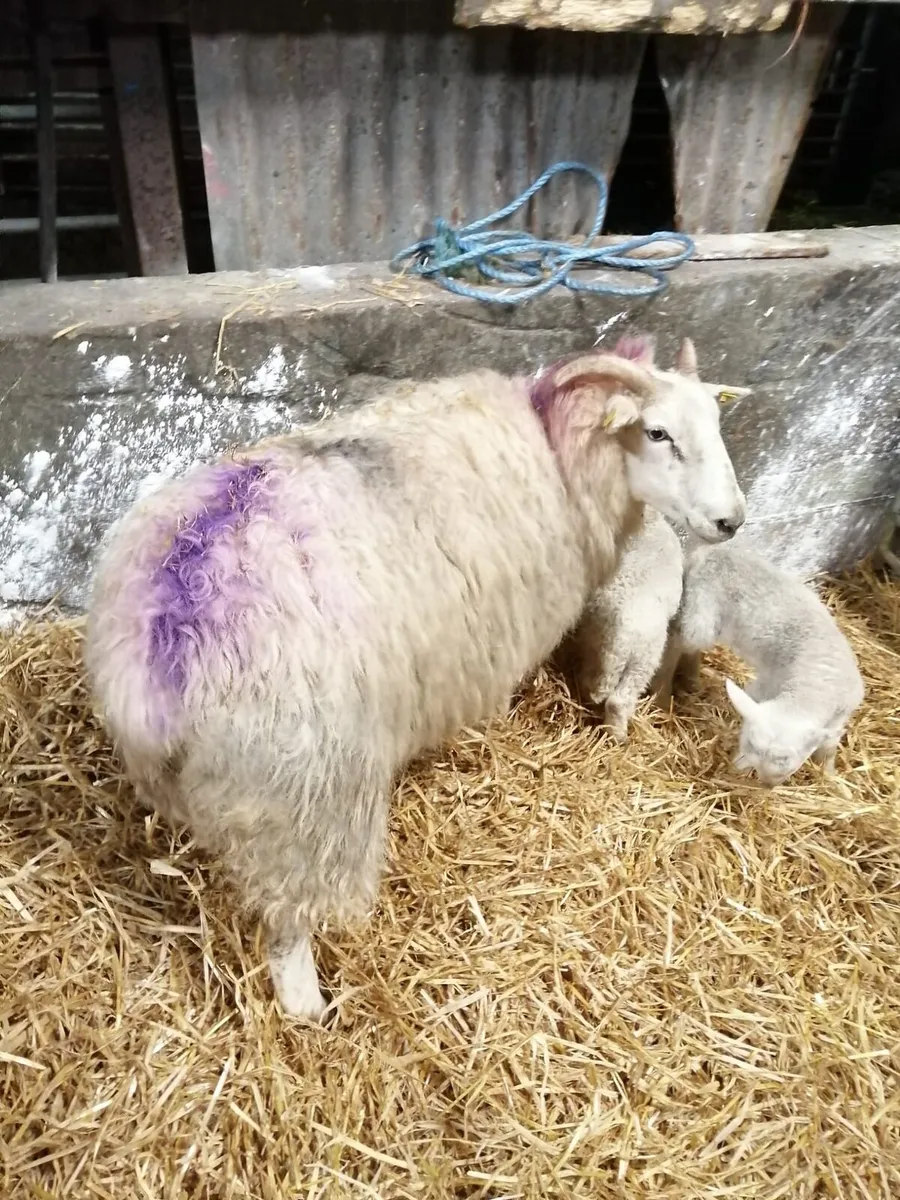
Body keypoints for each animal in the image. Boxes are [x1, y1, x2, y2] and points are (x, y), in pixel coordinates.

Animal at [565, 508, 684, 741]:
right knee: (618, 701)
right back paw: (617, 736)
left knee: (592, 681)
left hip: (594, 642)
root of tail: (618, 640)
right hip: (641, 663)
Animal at [658, 540, 865, 786]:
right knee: (679, 636)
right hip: (701, 610)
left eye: (788, 762)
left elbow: (829, 749)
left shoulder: (839, 717)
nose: (767, 785)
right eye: (748, 744)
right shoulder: (766, 686)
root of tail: (709, 551)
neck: (816, 684)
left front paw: (831, 776)